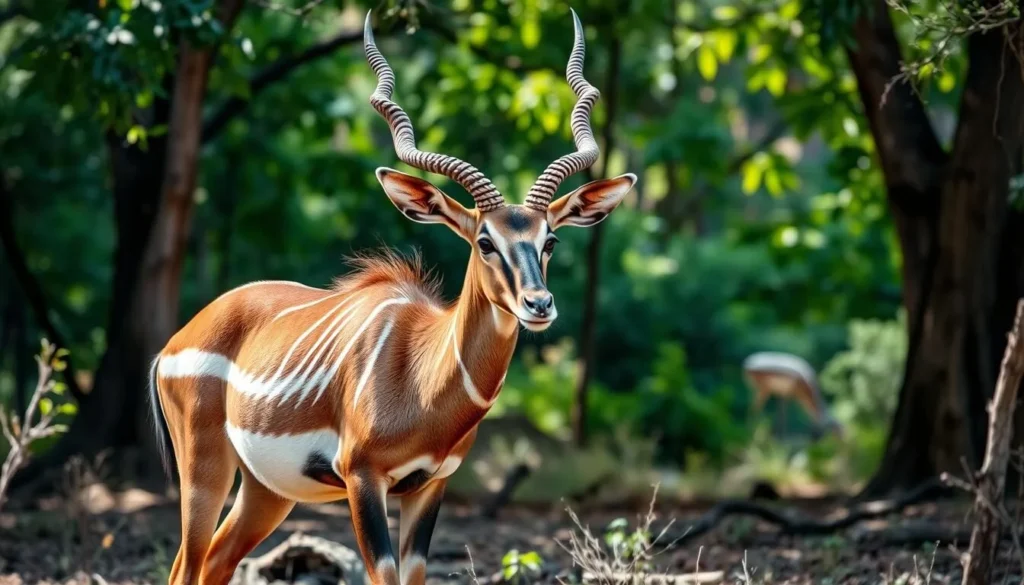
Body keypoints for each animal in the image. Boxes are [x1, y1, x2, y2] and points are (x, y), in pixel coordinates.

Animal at [148, 10, 636, 585]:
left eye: (550, 240)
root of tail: (177, 340)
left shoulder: (430, 485)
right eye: (484, 240)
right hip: (206, 471)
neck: (423, 377)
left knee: (217, 561)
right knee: (185, 565)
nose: (539, 305)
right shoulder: (363, 477)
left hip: (267, 489)